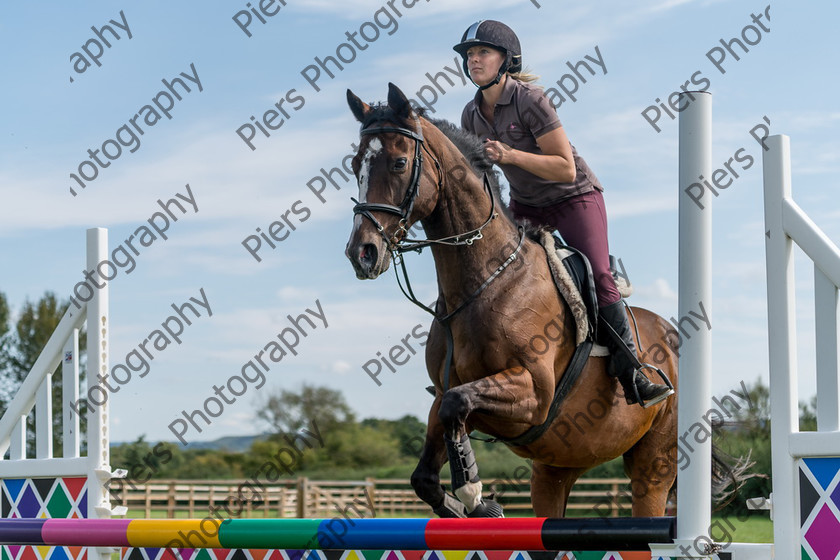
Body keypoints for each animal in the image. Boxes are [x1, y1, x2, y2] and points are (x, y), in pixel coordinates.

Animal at [344, 82, 680, 516]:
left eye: (400, 163)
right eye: (356, 165)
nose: (362, 254)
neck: (485, 282)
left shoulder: (533, 393)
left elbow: (458, 404)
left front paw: (472, 488)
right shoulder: (447, 396)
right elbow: (426, 470)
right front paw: (475, 505)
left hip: (653, 463)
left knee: (649, 489)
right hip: (557, 466)